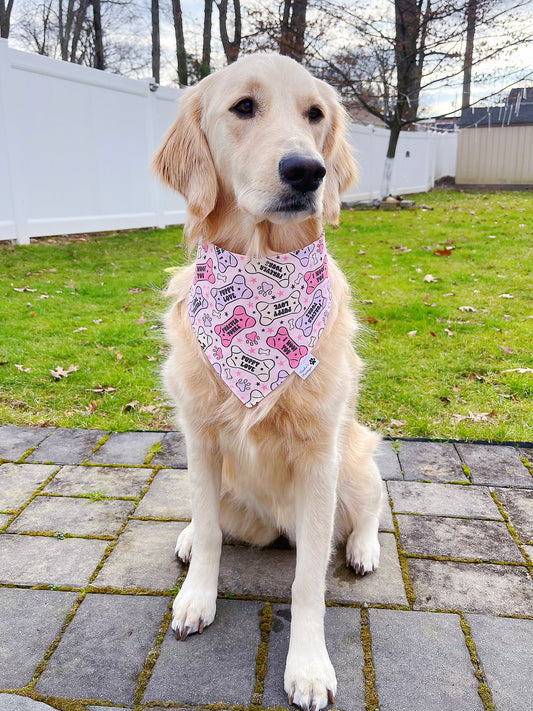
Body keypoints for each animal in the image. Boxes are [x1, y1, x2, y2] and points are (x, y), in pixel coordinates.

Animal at [154, 52, 382, 708]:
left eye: (316, 114)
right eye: (244, 107)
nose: (308, 171)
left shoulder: (319, 457)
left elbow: (308, 583)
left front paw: (307, 665)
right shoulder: (201, 440)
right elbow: (209, 534)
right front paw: (196, 600)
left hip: (353, 462)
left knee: (372, 507)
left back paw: (363, 548)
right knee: (213, 521)